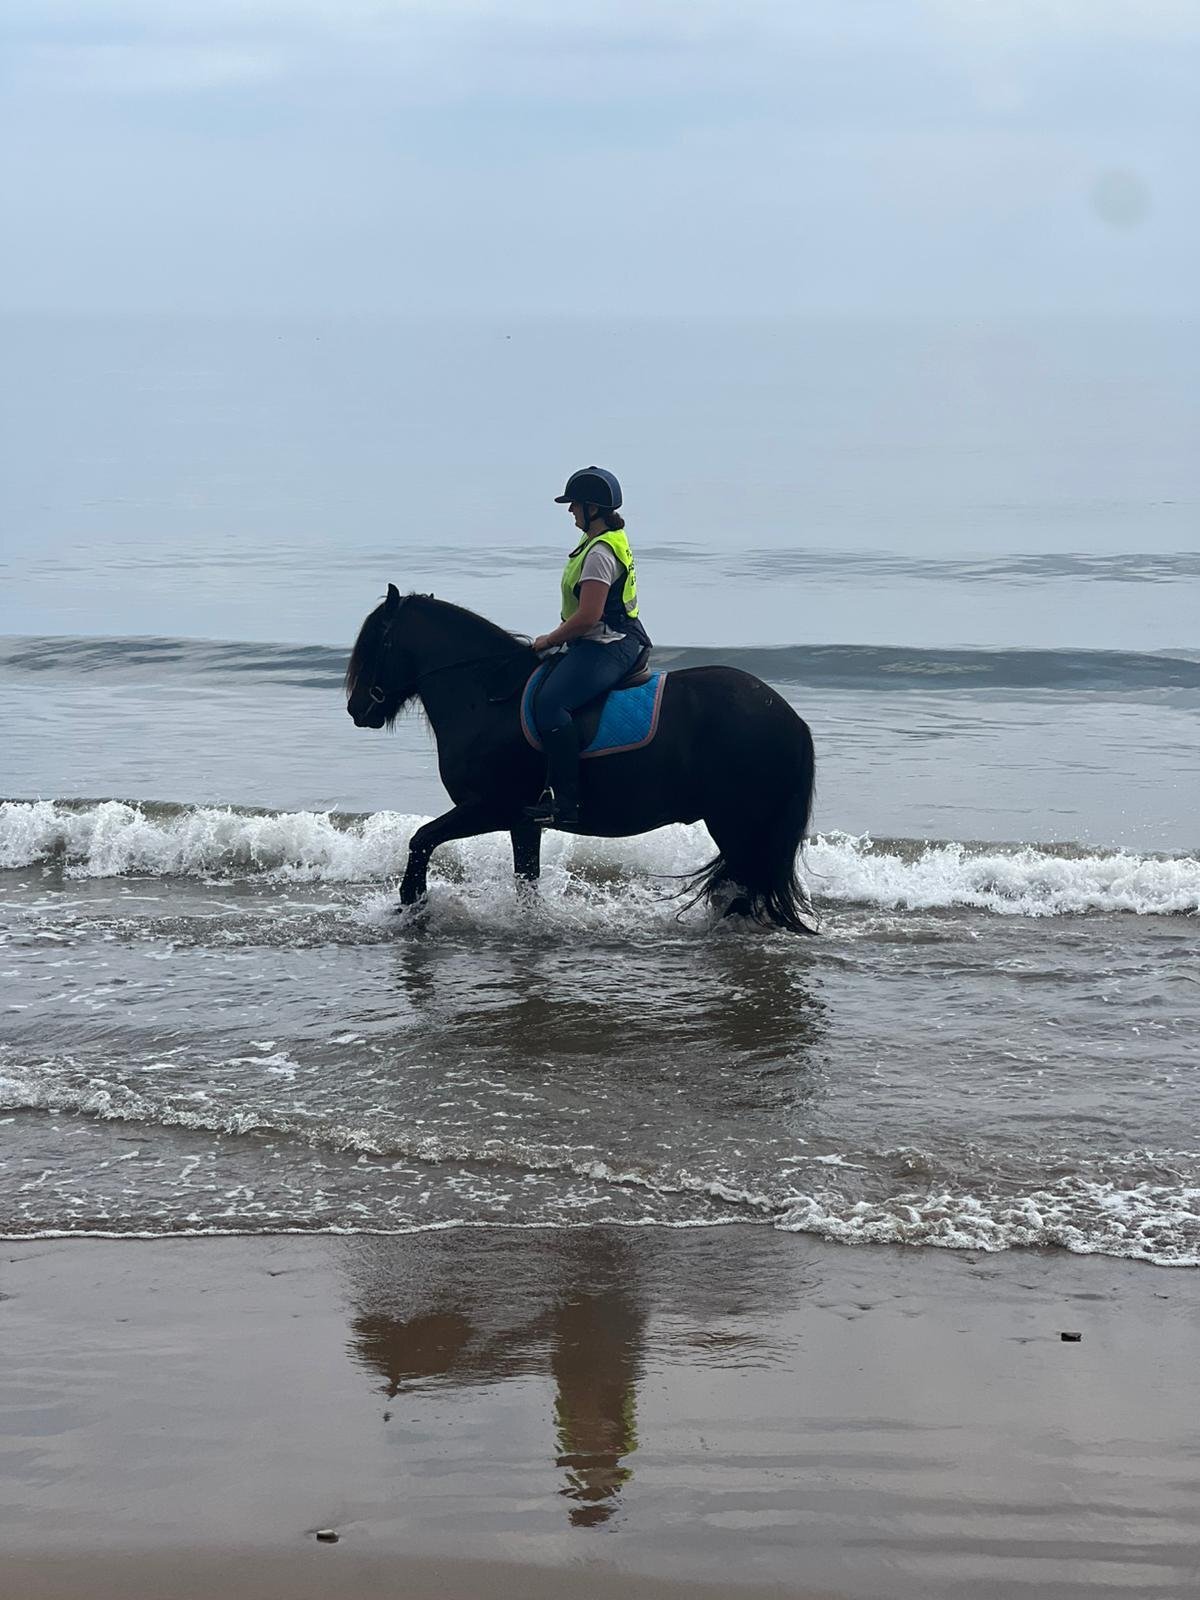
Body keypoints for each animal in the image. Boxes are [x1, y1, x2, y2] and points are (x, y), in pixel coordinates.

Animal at [345, 586, 818, 933]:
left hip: (736, 822)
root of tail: (791, 718)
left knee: (743, 886)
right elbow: (526, 881)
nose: (356, 710)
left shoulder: (490, 808)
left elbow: (421, 839)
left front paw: (412, 905)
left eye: (374, 646)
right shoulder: (522, 821)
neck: (489, 698)